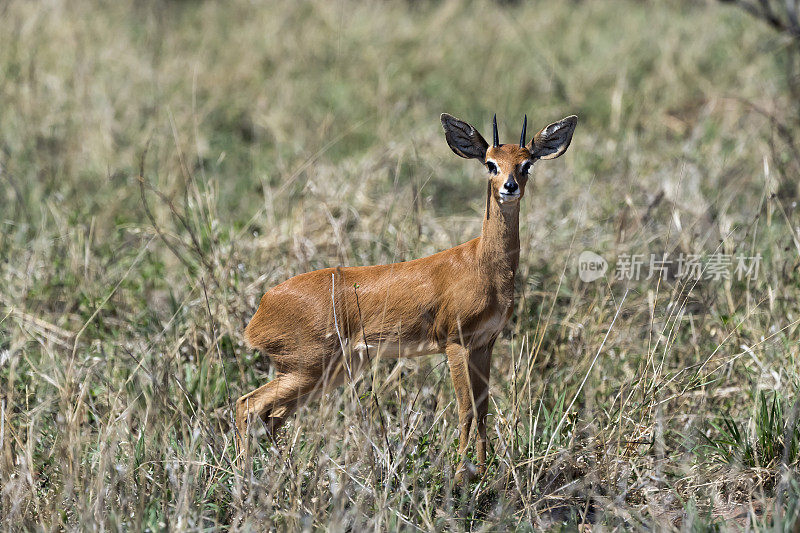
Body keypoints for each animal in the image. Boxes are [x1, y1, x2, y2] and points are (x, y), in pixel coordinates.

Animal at [234, 111, 580, 478]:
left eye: (526, 163)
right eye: (490, 163)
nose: (509, 187)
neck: (482, 263)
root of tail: (261, 310)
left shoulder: (485, 343)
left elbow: (483, 410)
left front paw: (483, 474)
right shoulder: (455, 343)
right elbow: (465, 410)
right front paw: (461, 477)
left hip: (330, 370)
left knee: (271, 417)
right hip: (309, 368)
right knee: (248, 405)